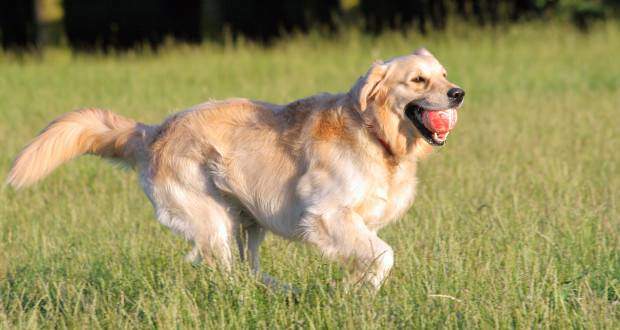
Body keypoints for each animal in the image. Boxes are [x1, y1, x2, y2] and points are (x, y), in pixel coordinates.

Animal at [6, 47, 460, 290]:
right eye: (418, 80)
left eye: (443, 74)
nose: (458, 93)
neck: (376, 135)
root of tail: (154, 131)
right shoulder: (327, 215)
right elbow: (384, 255)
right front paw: (356, 292)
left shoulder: (357, 223)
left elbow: (369, 257)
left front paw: (352, 289)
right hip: (213, 219)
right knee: (227, 275)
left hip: (248, 222)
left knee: (248, 271)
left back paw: (282, 291)